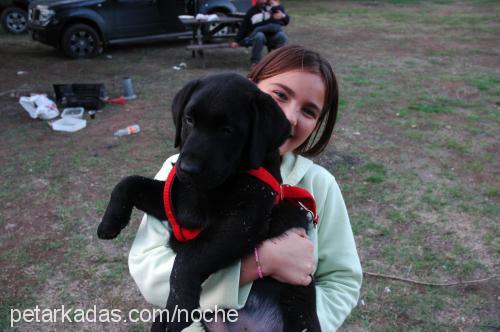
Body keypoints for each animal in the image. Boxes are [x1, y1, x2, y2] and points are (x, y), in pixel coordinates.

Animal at [97, 74, 320, 330]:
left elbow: (188, 258)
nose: (188, 169)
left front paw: (178, 308)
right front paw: (110, 222)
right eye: (189, 120)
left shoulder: (244, 221)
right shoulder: (175, 202)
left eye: (227, 130)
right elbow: (128, 182)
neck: (210, 189)